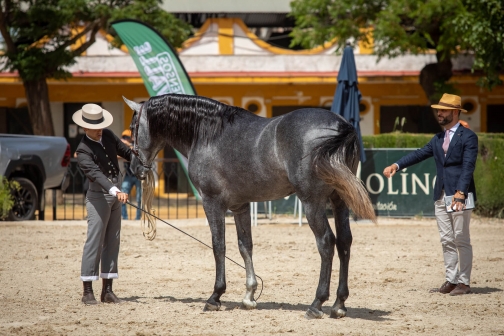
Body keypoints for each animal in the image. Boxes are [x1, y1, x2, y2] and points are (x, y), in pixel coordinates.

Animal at [122, 93, 374, 318]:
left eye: (133, 127)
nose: (134, 167)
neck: (207, 134)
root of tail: (341, 125)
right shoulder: (240, 206)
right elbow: (245, 246)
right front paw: (249, 296)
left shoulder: (212, 202)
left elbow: (219, 246)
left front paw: (215, 297)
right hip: (340, 202)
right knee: (344, 243)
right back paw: (339, 304)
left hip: (313, 203)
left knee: (326, 243)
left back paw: (316, 303)